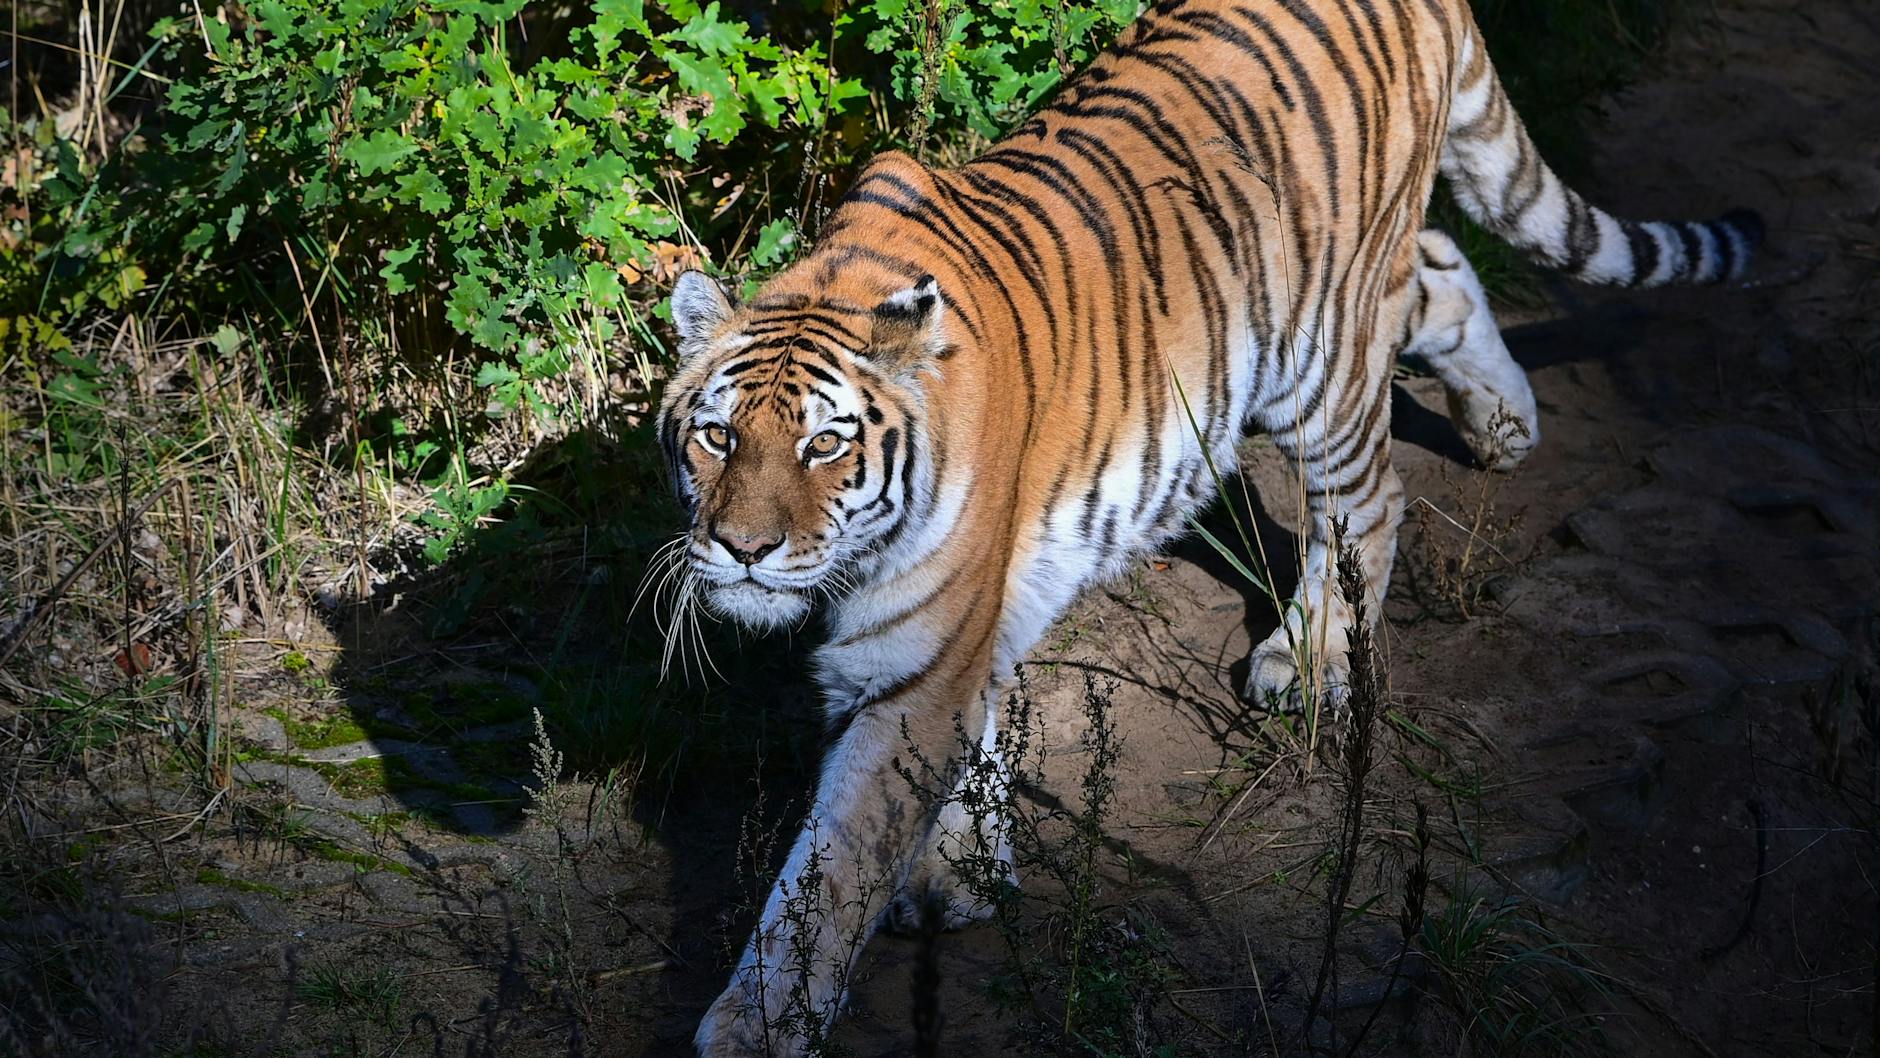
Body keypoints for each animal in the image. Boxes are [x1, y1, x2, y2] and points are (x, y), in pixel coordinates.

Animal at [655, 0, 1759, 1052]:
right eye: (716, 436)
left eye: (822, 446)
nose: (744, 550)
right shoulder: (976, 616)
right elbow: (973, 737)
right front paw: (960, 872)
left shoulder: (907, 659)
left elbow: (829, 871)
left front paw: (758, 1023)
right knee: (1446, 266)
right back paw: (1503, 425)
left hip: (1319, 354)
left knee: (1369, 500)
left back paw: (1307, 659)